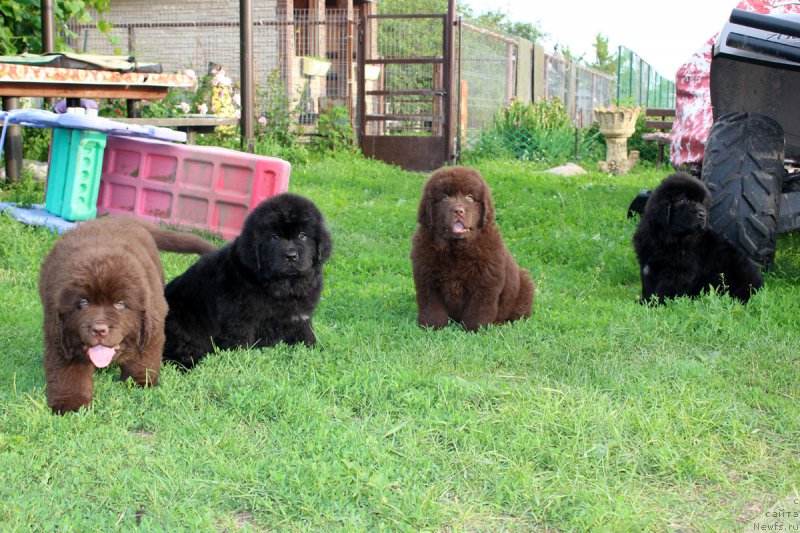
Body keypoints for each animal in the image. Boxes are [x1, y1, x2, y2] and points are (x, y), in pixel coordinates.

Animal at [38, 215, 216, 412]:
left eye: (120, 304)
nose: (99, 330)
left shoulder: (152, 324)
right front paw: (70, 404)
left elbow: (143, 358)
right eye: (83, 303)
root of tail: (122, 218)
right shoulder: (59, 336)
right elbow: (68, 372)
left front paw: (141, 384)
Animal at [410, 167, 536, 332]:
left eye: (470, 197)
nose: (458, 211)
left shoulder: (485, 282)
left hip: (525, 285)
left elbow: (479, 309)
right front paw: (432, 327)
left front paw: (475, 329)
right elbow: (432, 307)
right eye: (445, 198)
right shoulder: (427, 279)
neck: (455, 250)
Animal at [632, 171, 764, 304]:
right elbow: (648, 286)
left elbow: (665, 289)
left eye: (701, 202)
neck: (667, 237)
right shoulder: (647, 265)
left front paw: (655, 303)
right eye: (684, 200)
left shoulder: (679, 270)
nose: (702, 214)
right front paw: (644, 301)